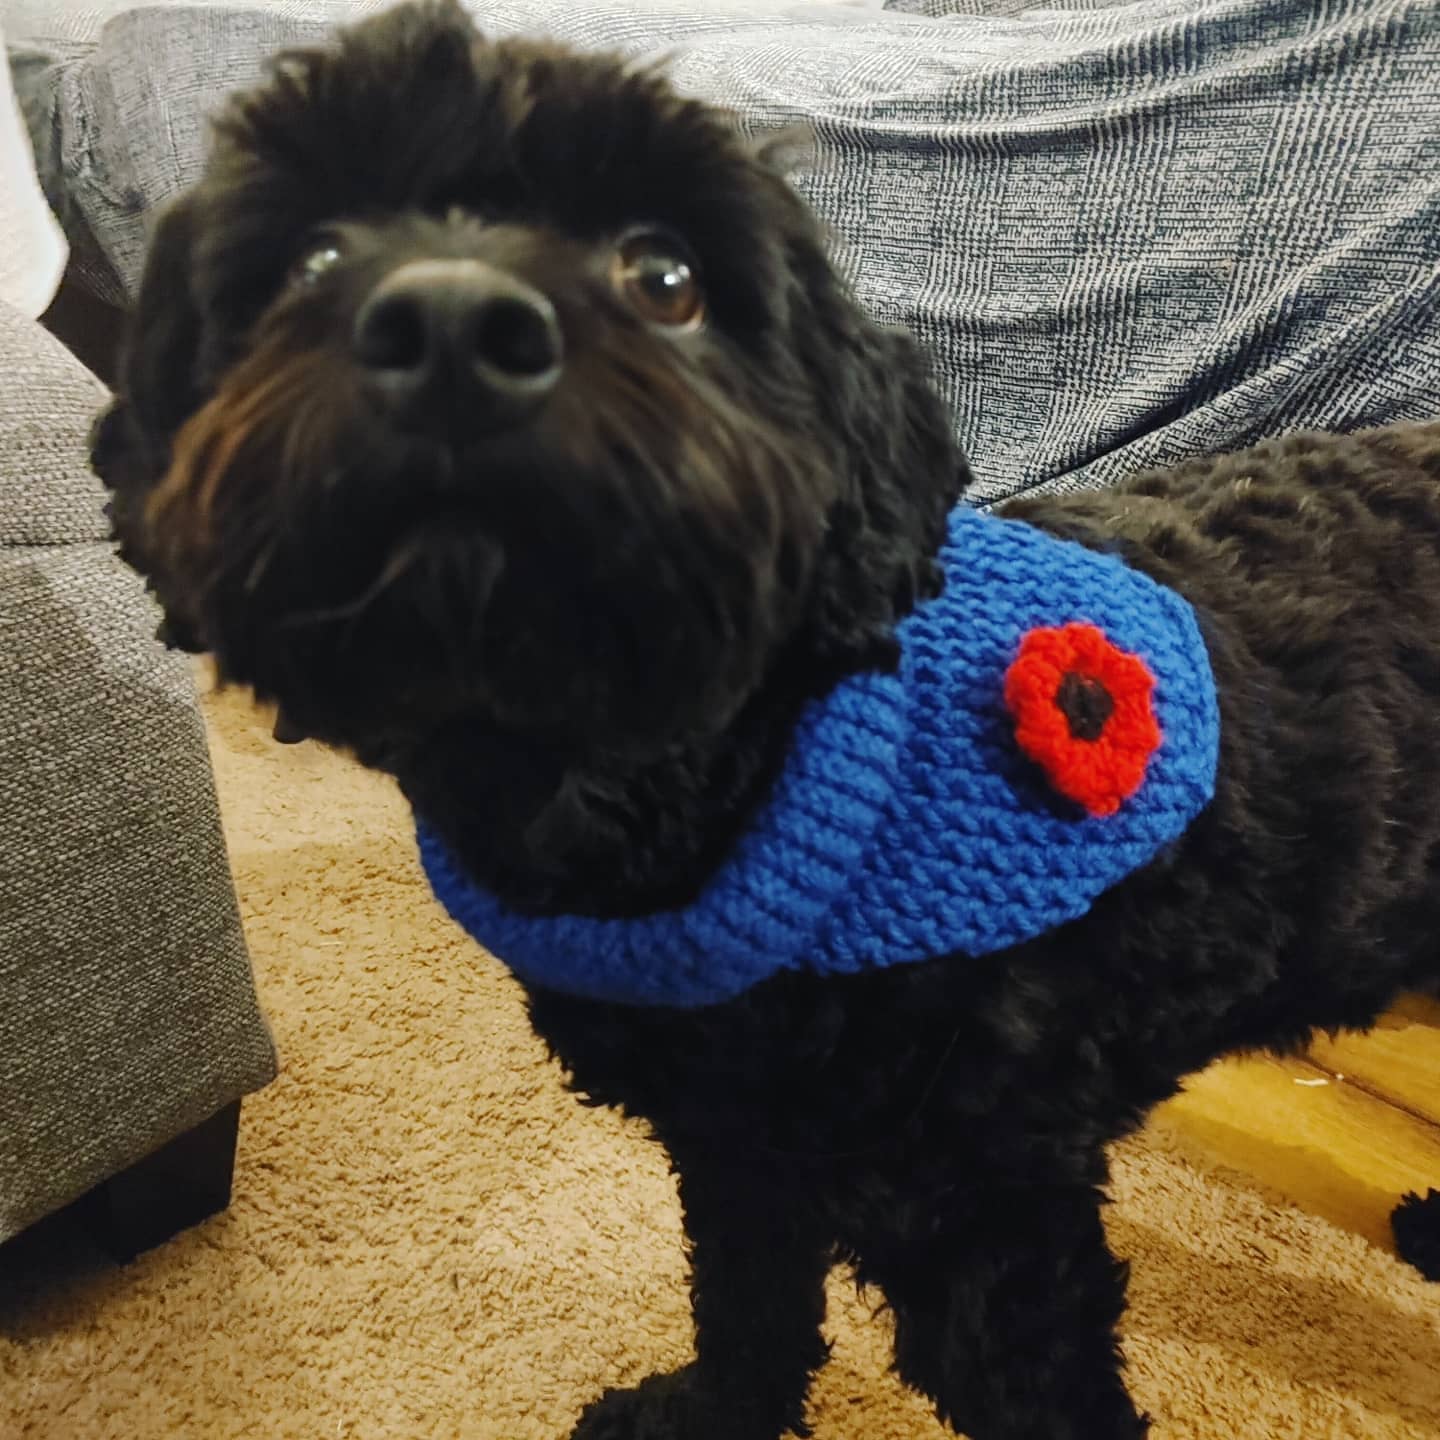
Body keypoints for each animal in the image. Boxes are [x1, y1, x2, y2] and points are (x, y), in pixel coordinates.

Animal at [95, 5, 1440, 1434]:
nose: (454, 324)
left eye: (667, 276)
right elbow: (747, 1309)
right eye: (312, 255)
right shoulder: (740, 1151)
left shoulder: (995, 1253)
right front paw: (705, 1413)